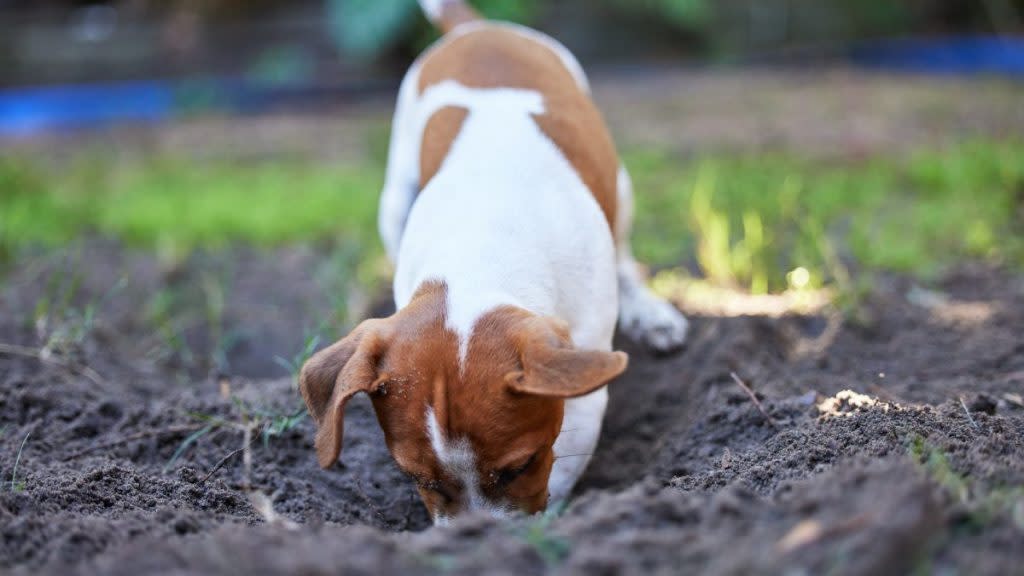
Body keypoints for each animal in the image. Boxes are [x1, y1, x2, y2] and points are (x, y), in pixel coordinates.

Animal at [301, 0, 688, 520]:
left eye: (520, 467)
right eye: (417, 479)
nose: (474, 534)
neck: (479, 246)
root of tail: (478, 28)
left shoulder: (584, 389)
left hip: (621, 189)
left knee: (625, 253)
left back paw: (650, 312)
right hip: (394, 197)